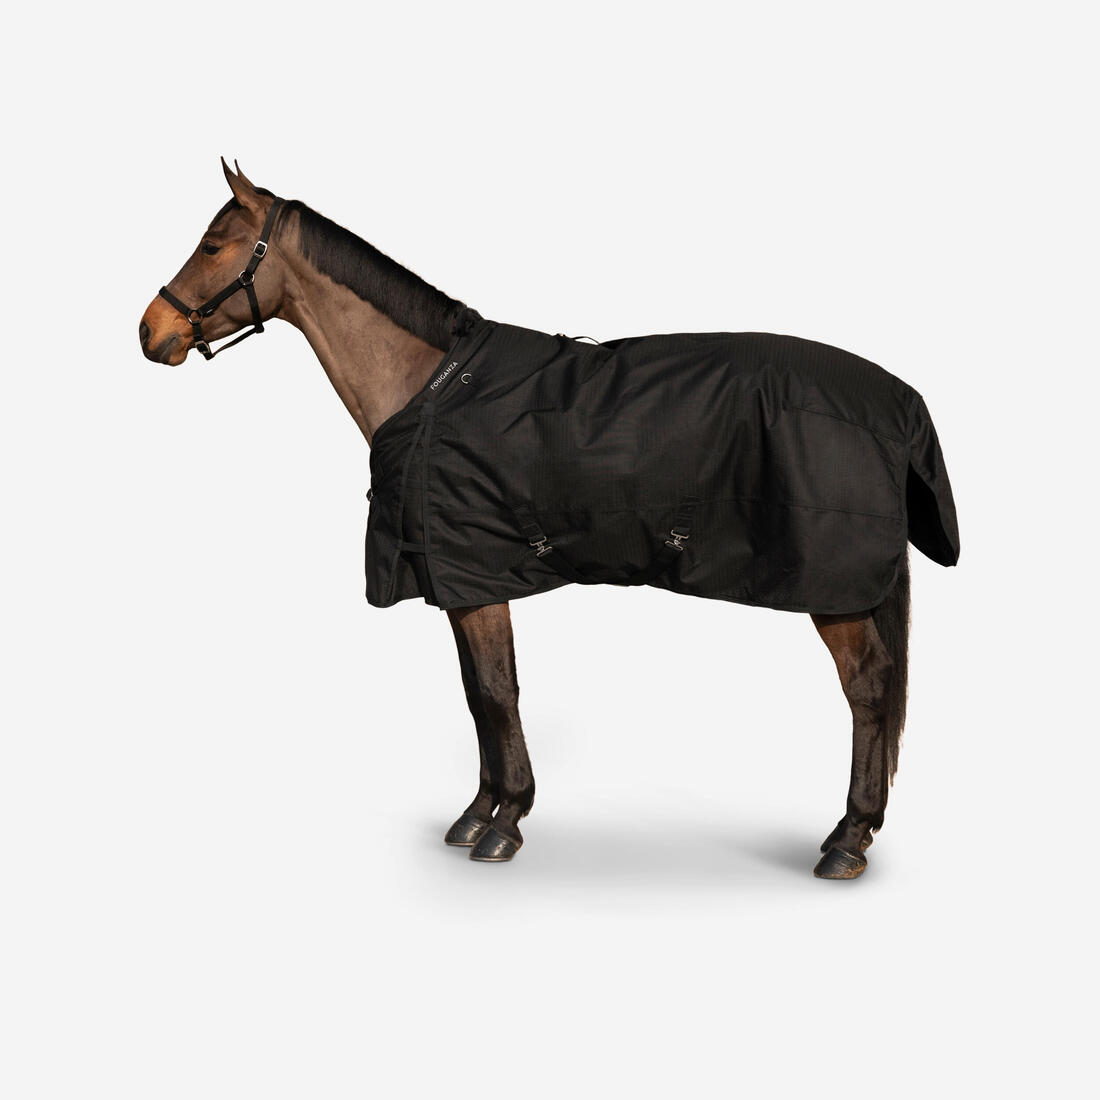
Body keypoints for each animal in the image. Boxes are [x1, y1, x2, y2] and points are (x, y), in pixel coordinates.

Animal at [139, 160, 959, 880]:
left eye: (213, 246)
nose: (150, 331)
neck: (431, 385)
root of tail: (898, 401)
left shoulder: (479, 577)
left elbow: (498, 693)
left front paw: (504, 824)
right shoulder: (459, 582)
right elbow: (477, 696)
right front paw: (478, 813)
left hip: (835, 589)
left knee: (868, 688)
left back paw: (848, 840)